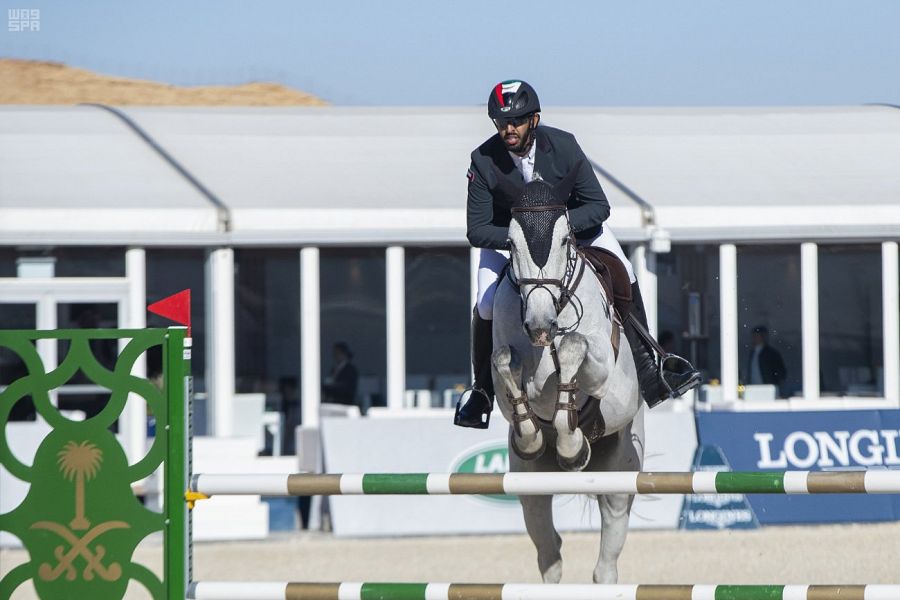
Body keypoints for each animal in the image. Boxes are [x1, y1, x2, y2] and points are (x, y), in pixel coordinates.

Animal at [488, 176, 644, 584]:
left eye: (563, 241)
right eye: (510, 243)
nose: (541, 326)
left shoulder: (605, 375)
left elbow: (575, 348)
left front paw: (572, 445)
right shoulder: (504, 378)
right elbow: (504, 362)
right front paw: (534, 435)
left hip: (620, 473)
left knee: (606, 562)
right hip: (530, 485)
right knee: (550, 553)